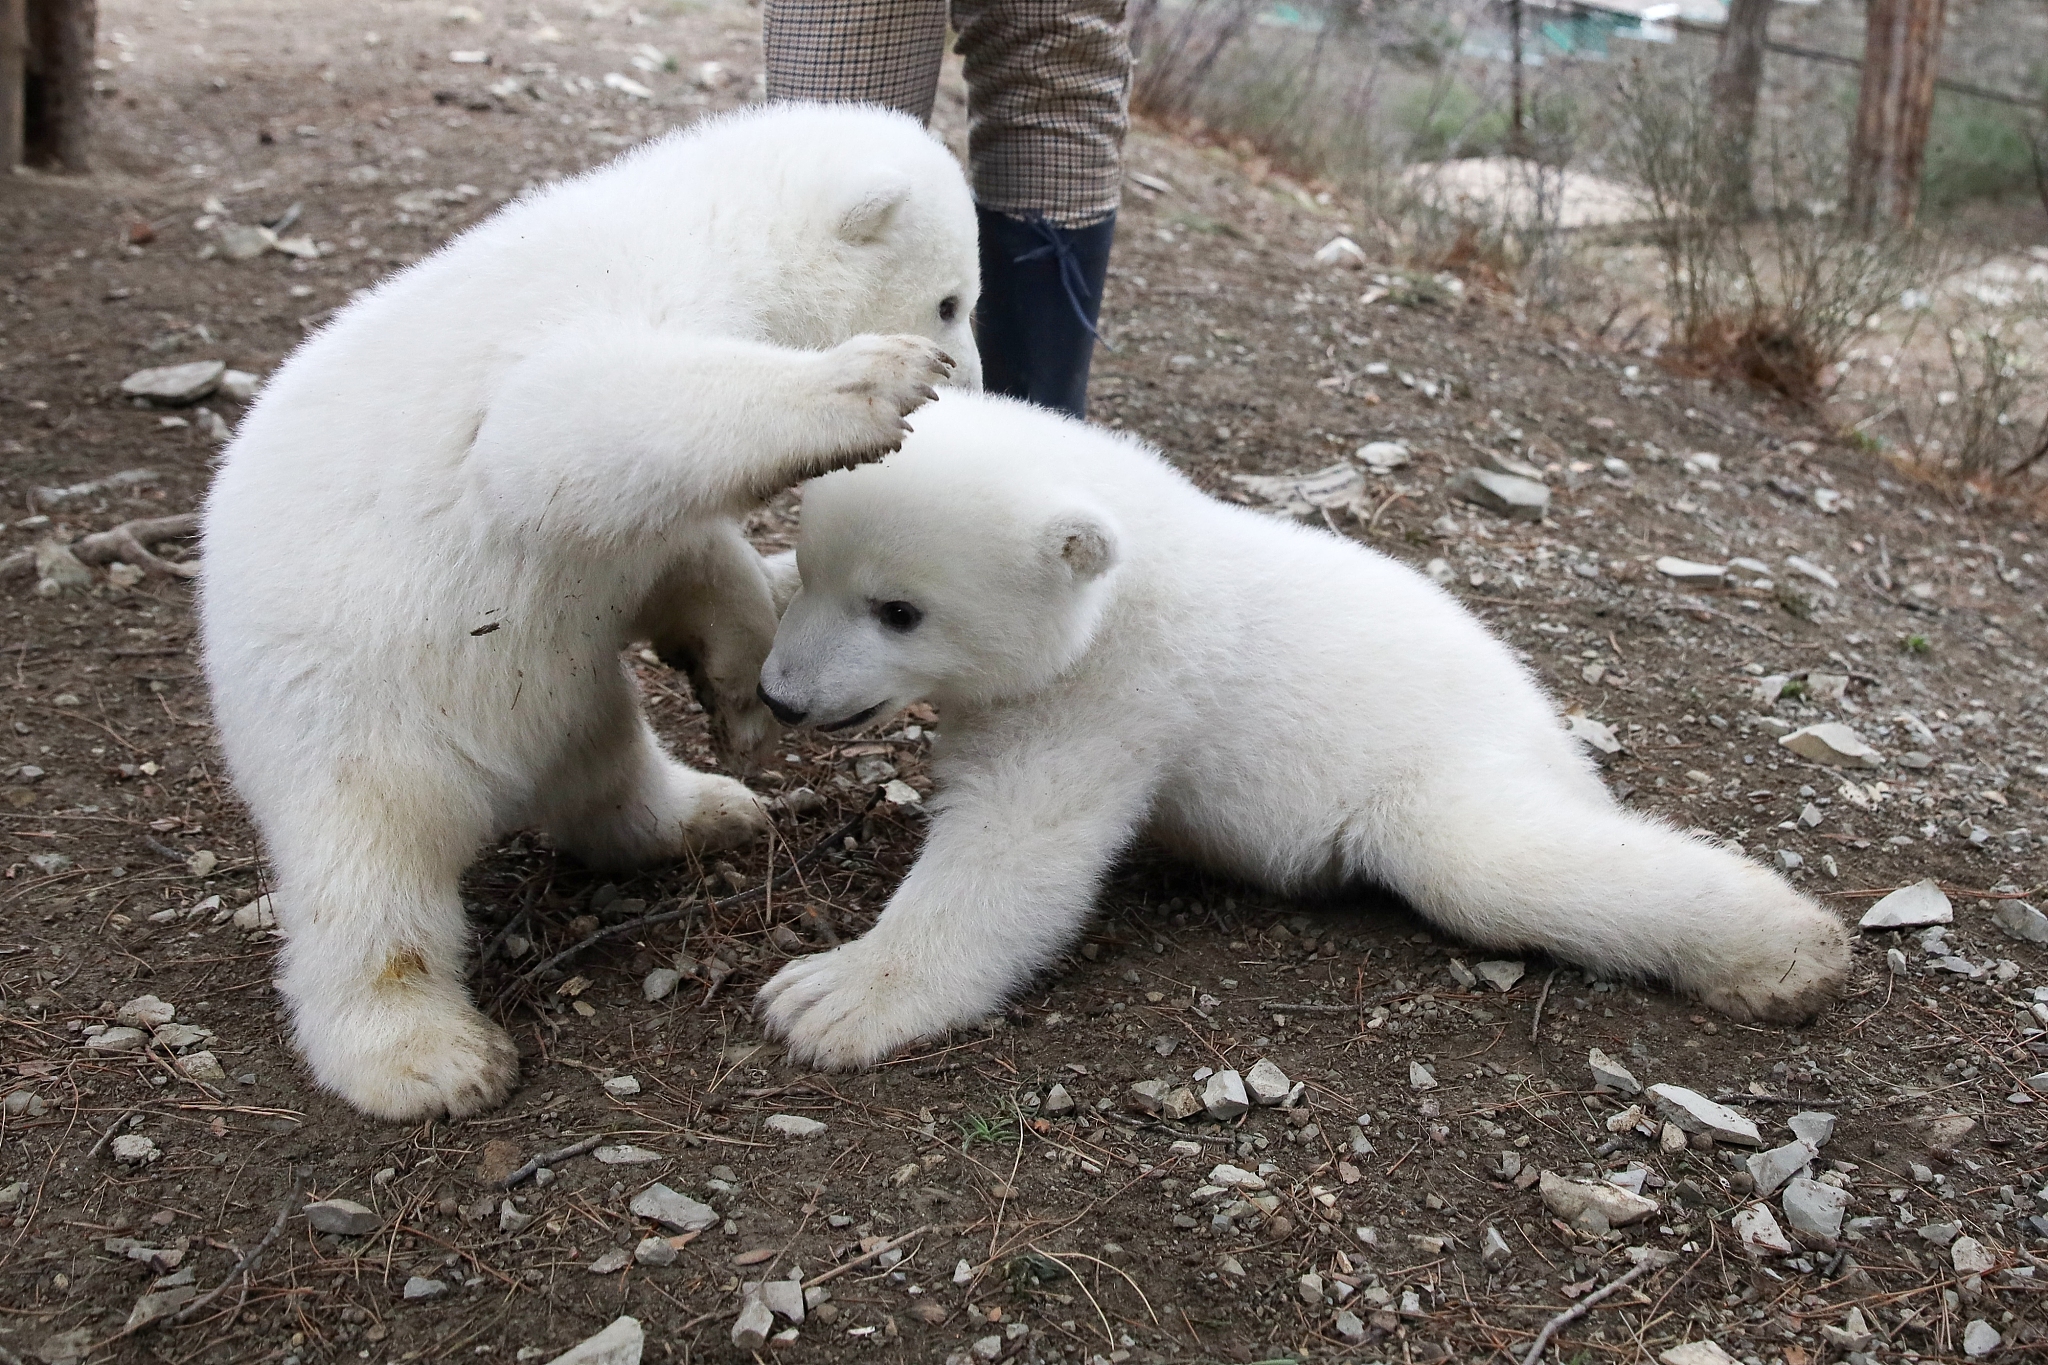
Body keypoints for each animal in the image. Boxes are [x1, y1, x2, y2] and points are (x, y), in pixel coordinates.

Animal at [199, 103, 979, 1121]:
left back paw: (707, 810)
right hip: (352, 712)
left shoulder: (631, 538)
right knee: (368, 876)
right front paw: (874, 379)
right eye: (951, 303)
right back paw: (426, 1053)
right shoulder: (609, 316)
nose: (972, 381)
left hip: (554, 688)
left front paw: (738, 696)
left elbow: (685, 556)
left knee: (604, 765)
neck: (707, 228)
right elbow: (556, 432)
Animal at [753, 393, 1851, 1069]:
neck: (1136, 568)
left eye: (898, 610)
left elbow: (1012, 849)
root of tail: (1547, 727)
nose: (780, 695)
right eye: (809, 568)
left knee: (1498, 865)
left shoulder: (1117, 689)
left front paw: (830, 994)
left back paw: (1783, 952)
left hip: (1434, 771)